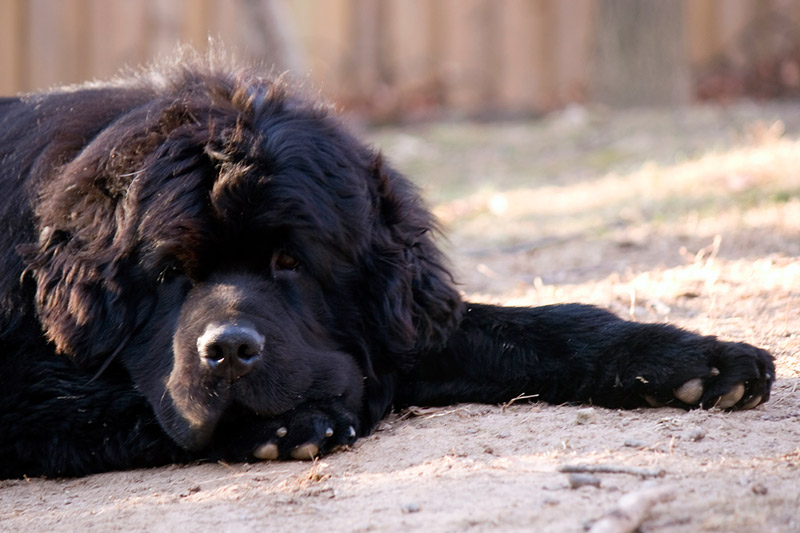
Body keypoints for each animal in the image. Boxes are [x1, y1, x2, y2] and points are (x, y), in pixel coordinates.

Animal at [0, 61, 776, 478]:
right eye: (169, 273)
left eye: (292, 262)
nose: (228, 350)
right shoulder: (29, 389)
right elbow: (96, 402)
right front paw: (291, 424)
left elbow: (550, 326)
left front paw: (699, 360)